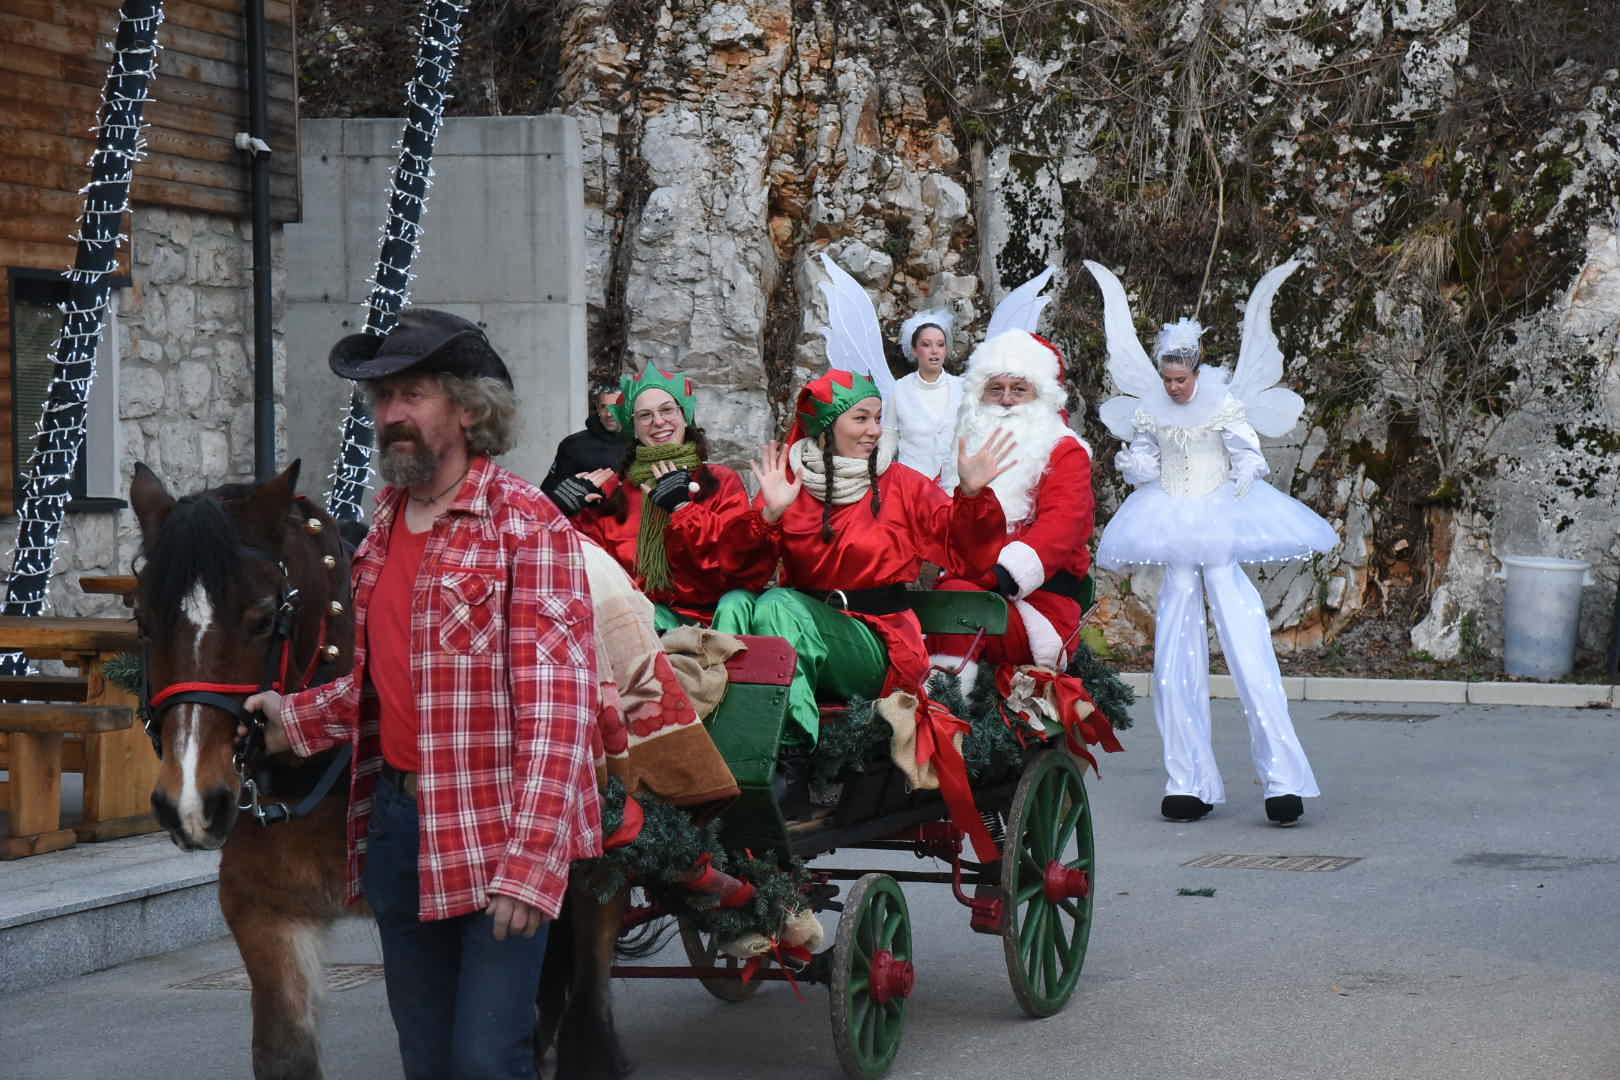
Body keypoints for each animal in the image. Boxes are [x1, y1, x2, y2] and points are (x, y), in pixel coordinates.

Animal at [131, 463, 631, 1080]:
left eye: (264, 619)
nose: (191, 804)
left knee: (587, 996)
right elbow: (284, 1051)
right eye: (143, 622)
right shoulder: (266, 913)